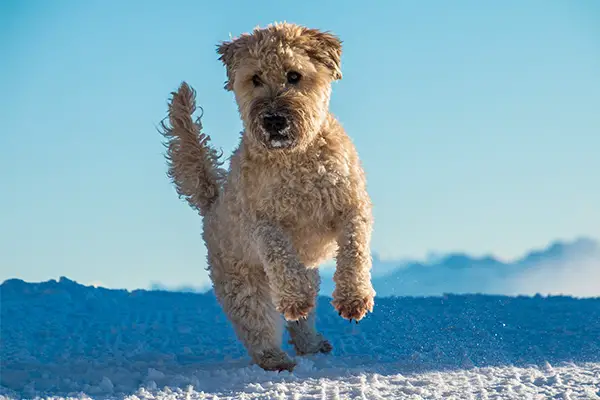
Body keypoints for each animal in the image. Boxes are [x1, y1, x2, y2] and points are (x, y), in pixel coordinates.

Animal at [159, 22, 376, 372]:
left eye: (294, 75)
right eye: (255, 78)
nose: (274, 120)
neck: (295, 159)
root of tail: (212, 202)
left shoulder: (352, 206)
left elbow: (354, 250)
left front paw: (353, 298)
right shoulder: (262, 222)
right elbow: (280, 253)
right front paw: (295, 299)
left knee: (301, 319)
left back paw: (311, 341)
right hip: (241, 281)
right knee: (257, 322)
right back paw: (276, 356)